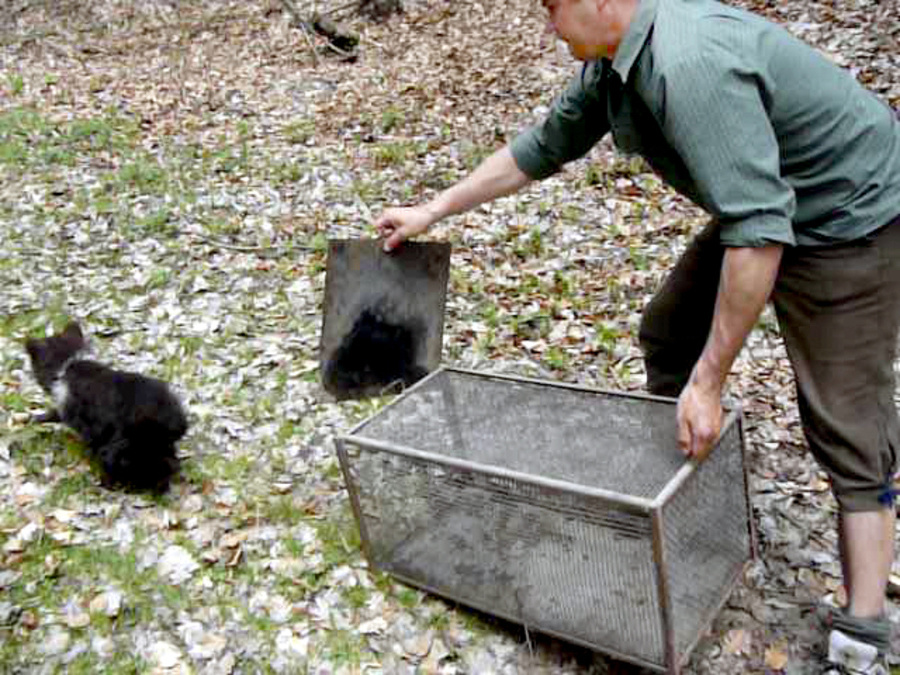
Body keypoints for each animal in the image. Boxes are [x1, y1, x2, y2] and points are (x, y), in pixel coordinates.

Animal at [25, 322, 189, 492]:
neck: (68, 364)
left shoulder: (74, 412)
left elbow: (55, 414)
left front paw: (36, 418)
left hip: (124, 447)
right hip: (157, 447)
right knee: (169, 464)